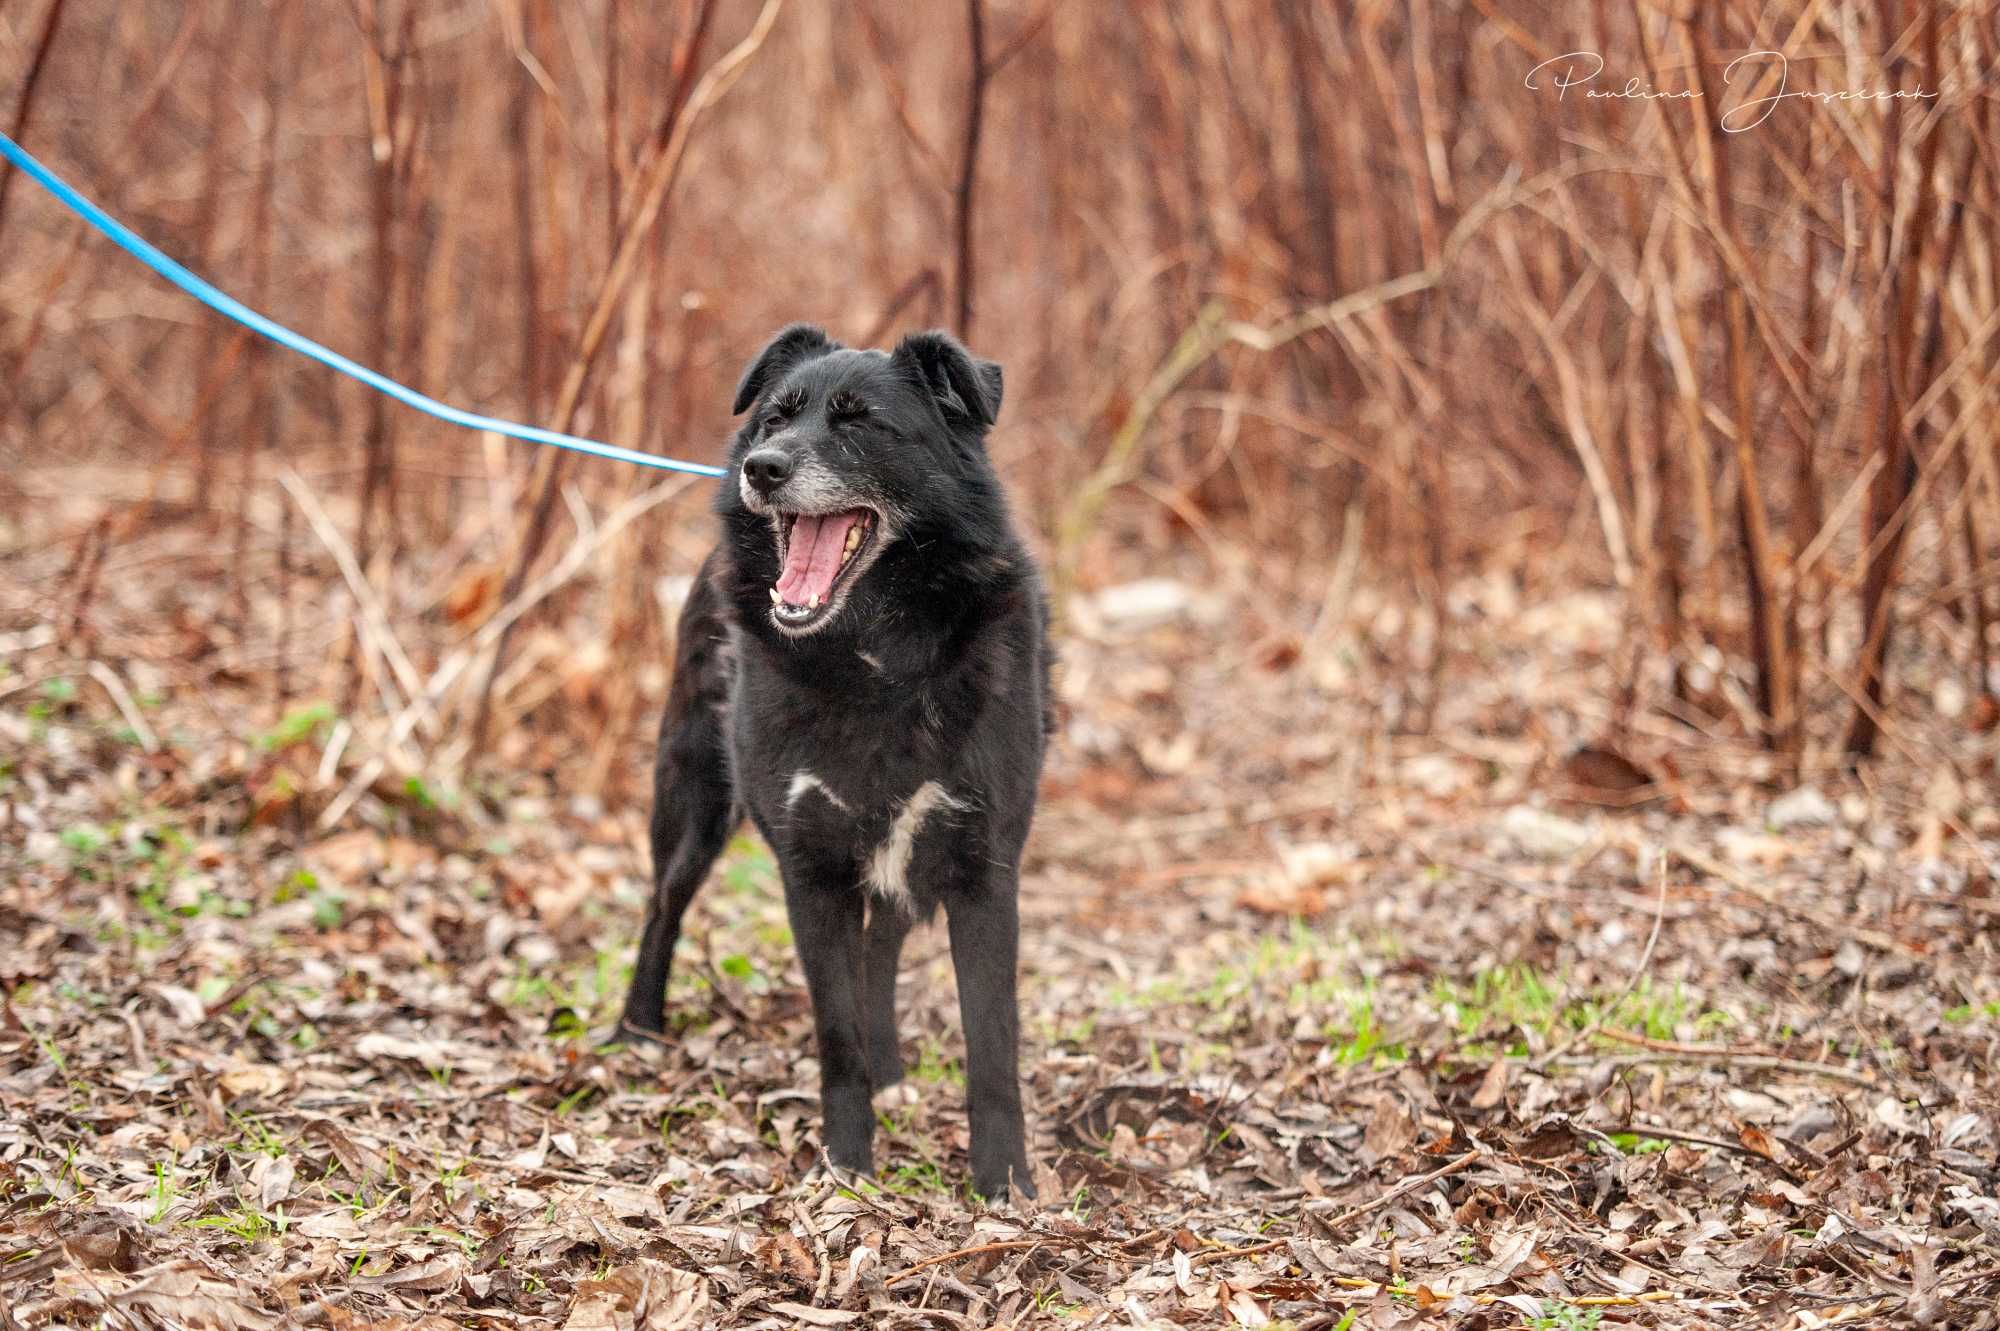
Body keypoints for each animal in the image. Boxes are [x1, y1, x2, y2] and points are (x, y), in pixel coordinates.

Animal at [616, 323, 1056, 1199]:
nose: (761, 467)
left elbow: (991, 1045)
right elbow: (836, 1028)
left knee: (880, 947)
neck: (877, 652)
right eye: (775, 418)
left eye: (858, 422)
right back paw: (636, 1029)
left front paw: (1004, 1182)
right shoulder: (810, 868)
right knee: (662, 906)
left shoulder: (984, 867)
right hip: (693, 804)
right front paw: (847, 1165)